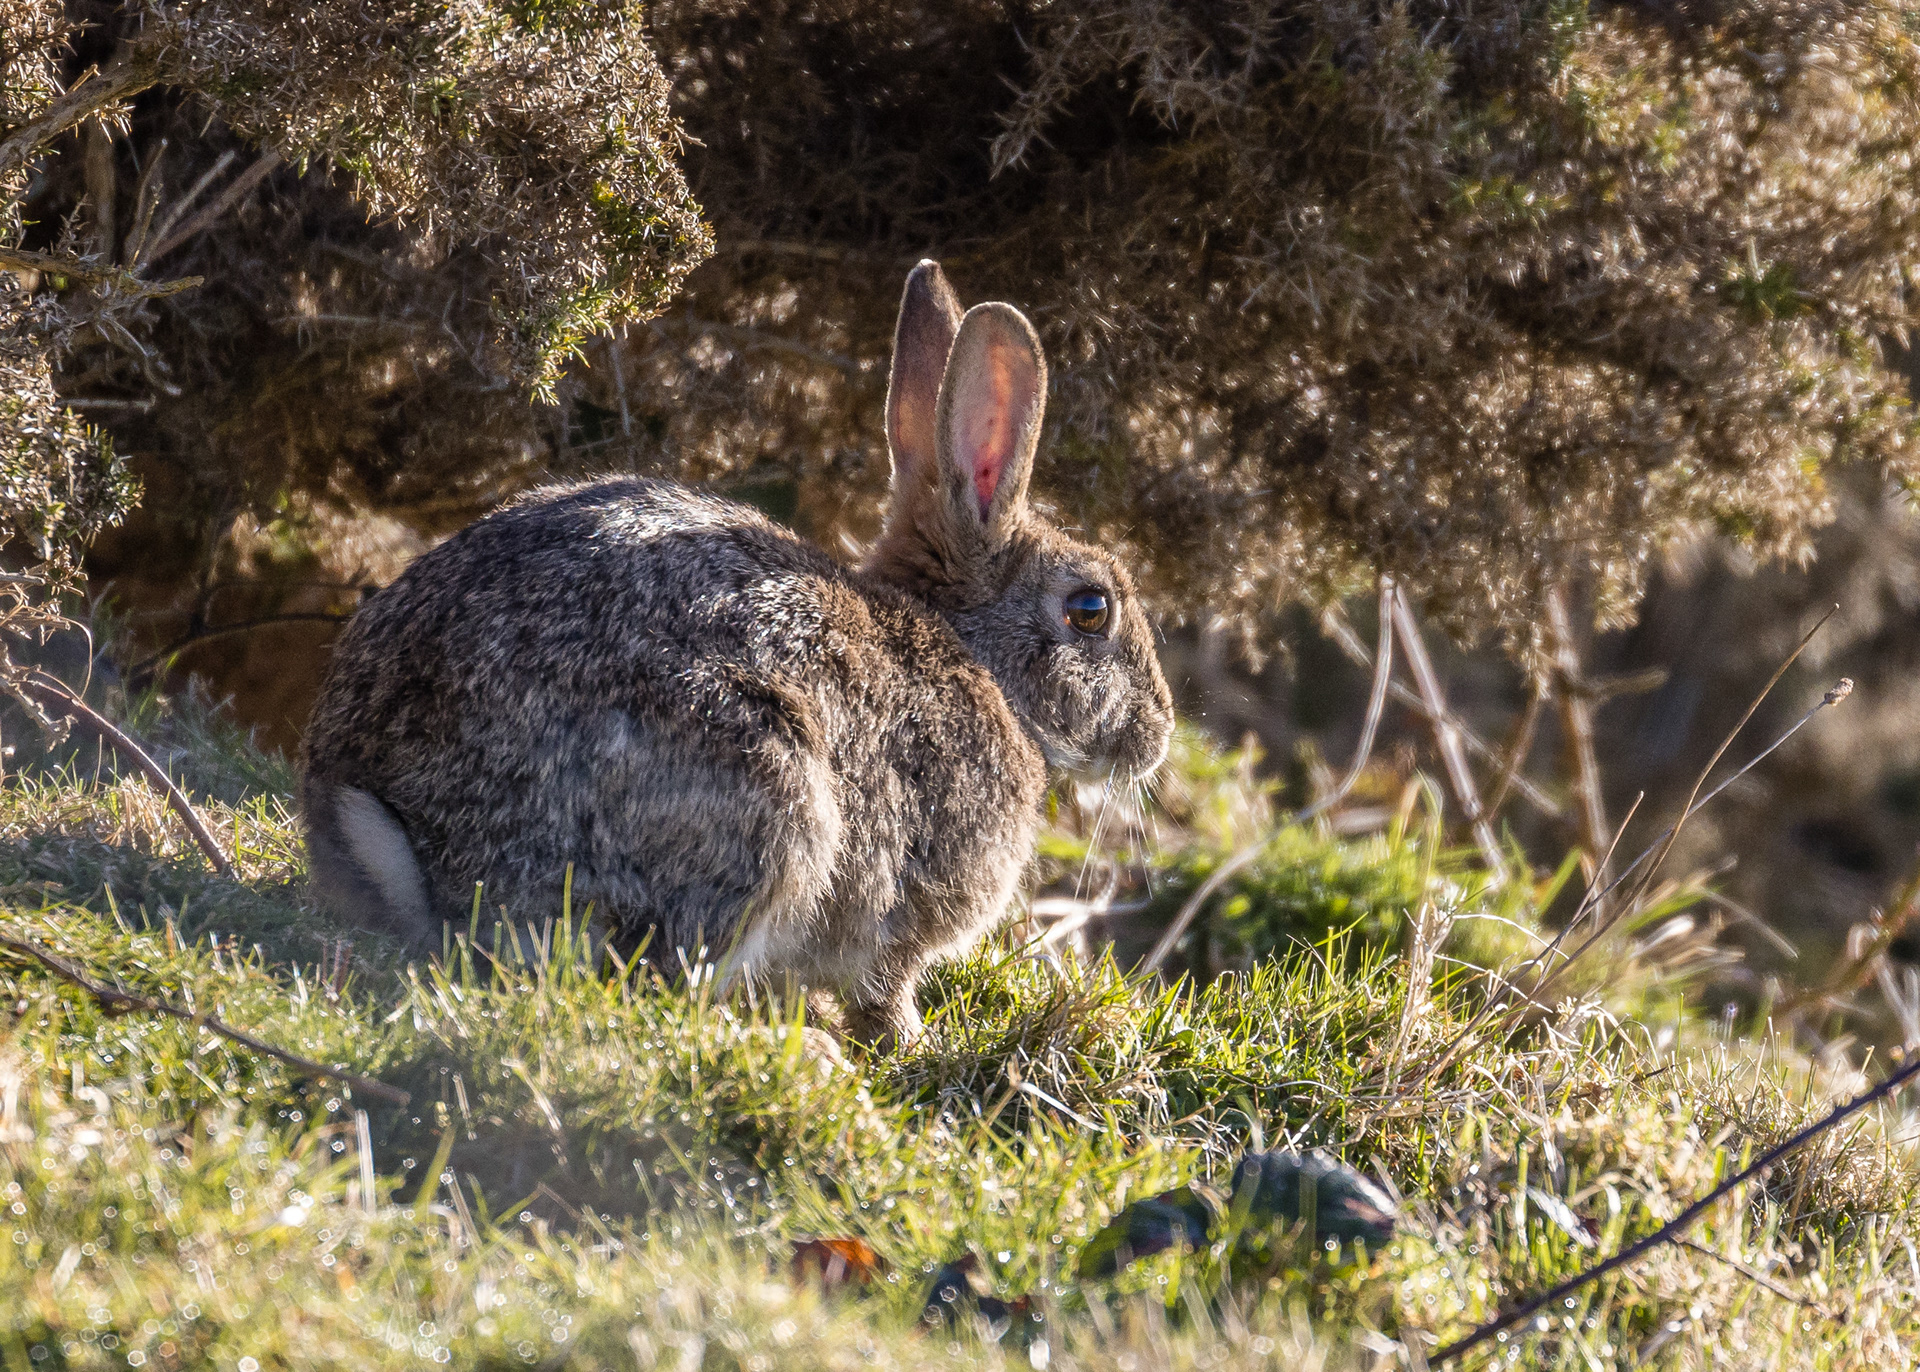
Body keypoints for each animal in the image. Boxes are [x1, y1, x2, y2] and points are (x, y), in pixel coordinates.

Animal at [300, 260, 1174, 1047]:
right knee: (653, 982)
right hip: (763, 795)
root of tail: (410, 849)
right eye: (1091, 610)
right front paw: (911, 1047)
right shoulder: (903, 913)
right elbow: (883, 991)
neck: (976, 656)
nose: (1160, 733)